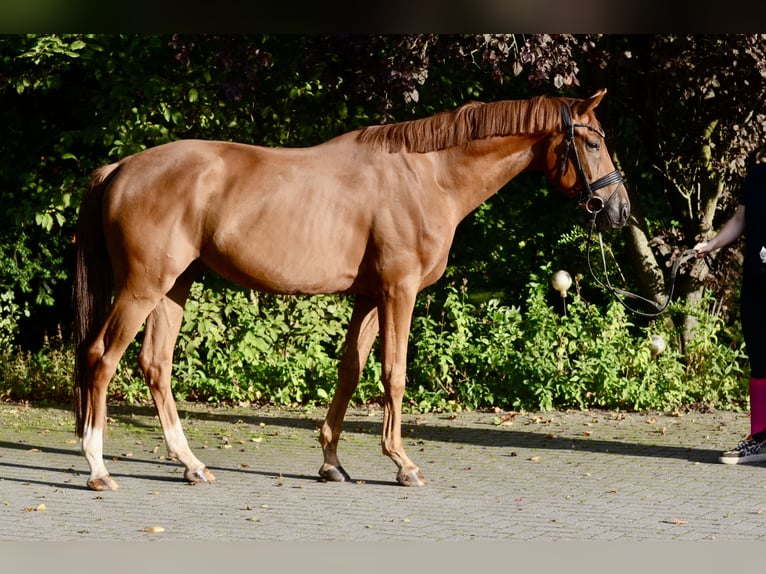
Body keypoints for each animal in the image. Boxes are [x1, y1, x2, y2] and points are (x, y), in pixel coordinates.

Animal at [72, 88, 629, 491]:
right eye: (593, 143)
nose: (619, 210)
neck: (428, 176)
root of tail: (119, 169)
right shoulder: (398, 291)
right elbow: (394, 373)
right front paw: (403, 464)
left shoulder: (368, 296)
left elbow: (350, 371)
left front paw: (331, 462)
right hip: (143, 286)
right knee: (102, 357)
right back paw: (98, 469)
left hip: (175, 285)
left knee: (155, 364)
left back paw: (191, 464)